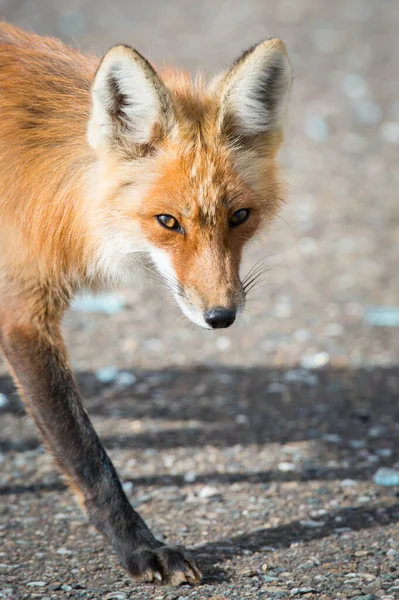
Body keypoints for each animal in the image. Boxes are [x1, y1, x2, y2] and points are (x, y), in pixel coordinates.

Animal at [0, 23, 294, 584]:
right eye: (167, 221)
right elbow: (87, 455)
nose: (221, 317)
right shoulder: (22, 315)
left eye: (240, 216)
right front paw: (139, 547)